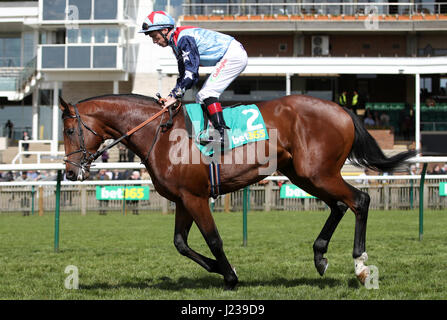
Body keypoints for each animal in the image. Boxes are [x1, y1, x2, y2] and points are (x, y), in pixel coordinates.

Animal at [58, 94, 416, 290]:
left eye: (70, 130)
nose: (70, 172)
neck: (160, 134)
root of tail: (342, 109)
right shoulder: (183, 199)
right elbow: (181, 244)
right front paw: (223, 270)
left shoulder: (196, 197)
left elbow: (213, 239)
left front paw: (230, 275)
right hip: (304, 174)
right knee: (340, 206)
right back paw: (320, 255)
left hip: (319, 173)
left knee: (360, 200)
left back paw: (361, 266)